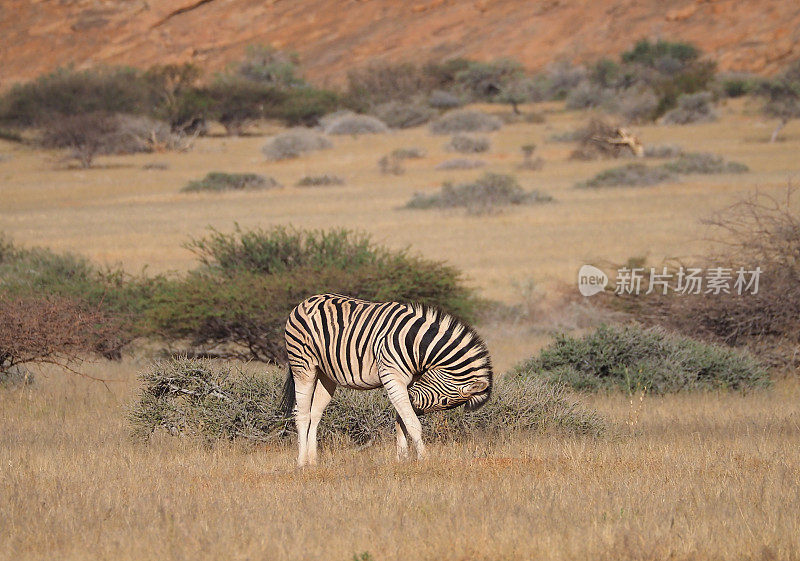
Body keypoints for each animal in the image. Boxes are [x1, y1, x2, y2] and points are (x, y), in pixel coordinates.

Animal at [282, 290, 494, 466]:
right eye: (444, 401)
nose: (414, 402)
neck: (416, 344)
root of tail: (306, 301)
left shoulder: (408, 382)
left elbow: (401, 421)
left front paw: (402, 458)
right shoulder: (392, 377)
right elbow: (412, 423)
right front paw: (423, 458)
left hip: (326, 375)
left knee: (315, 413)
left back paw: (313, 460)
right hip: (303, 365)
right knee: (302, 413)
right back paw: (301, 462)